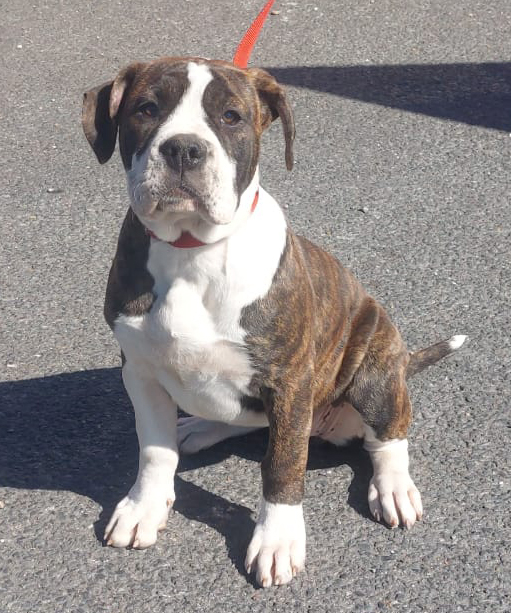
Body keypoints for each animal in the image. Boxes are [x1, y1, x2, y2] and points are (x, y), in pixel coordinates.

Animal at [82, 57, 466, 588]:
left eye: (231, 116)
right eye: (146, 108)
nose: (183, 148)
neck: (191, 249)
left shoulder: (288, 381)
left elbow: (282, 466)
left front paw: (277, 540)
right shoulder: (139, 372)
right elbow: (154, 448)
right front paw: (144, 507)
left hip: (373, 364)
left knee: (387, 437)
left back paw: (394, 488)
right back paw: (199, 428)